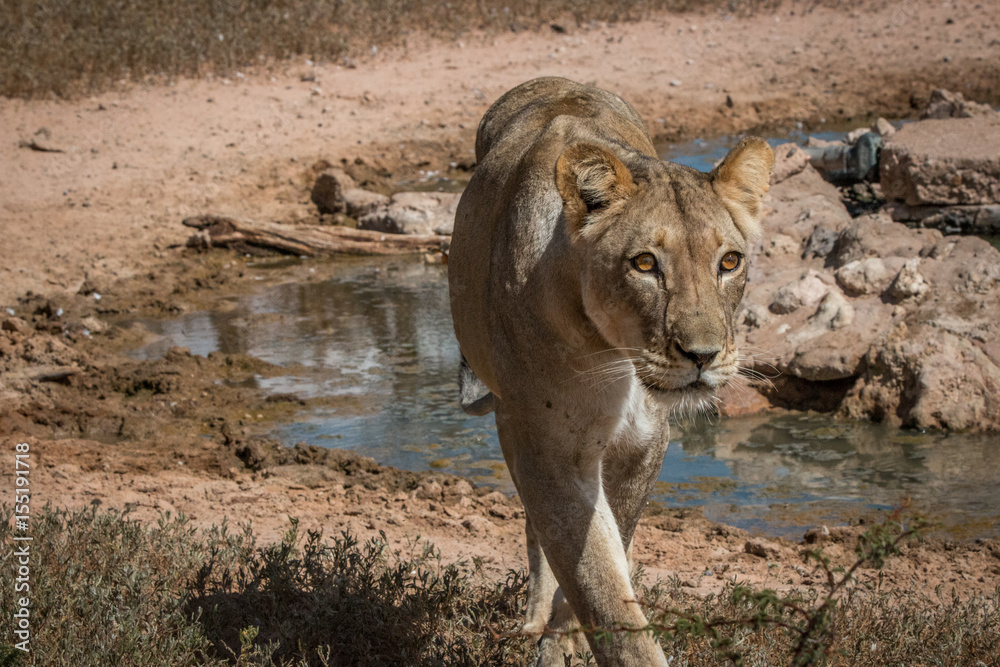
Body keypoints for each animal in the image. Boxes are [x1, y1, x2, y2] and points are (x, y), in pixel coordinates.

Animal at [448, 77, 773, 666]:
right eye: (645, 264)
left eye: (729, 262)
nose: (703, 355)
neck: (617, 360)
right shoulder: (550, 451)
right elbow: (598, 585)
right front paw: (564, 639)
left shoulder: (644, 443)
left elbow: (611, 549)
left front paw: (567, 636)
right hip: (512, 422)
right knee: (532, 527)